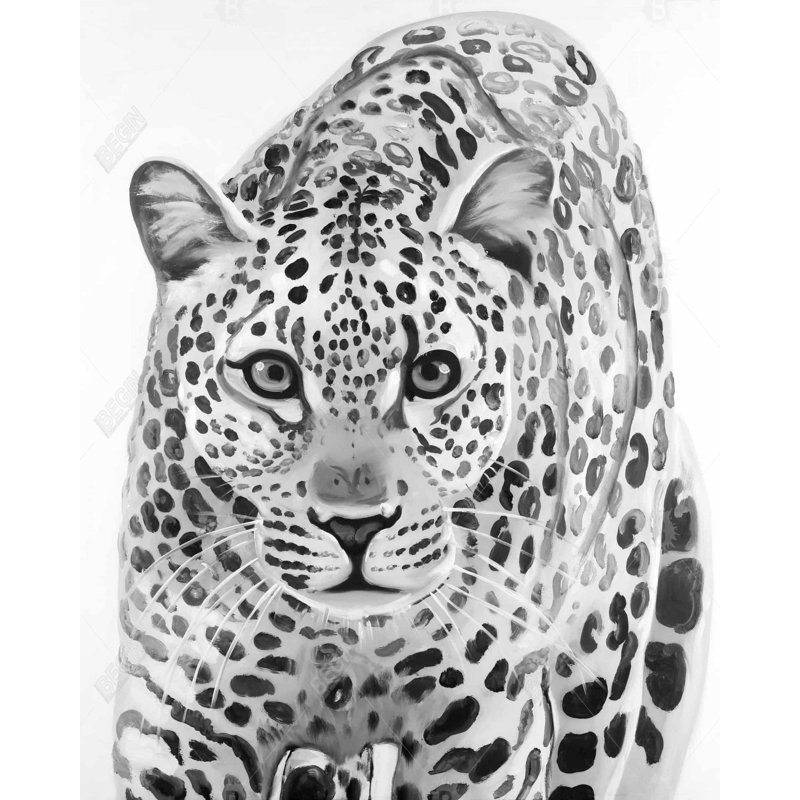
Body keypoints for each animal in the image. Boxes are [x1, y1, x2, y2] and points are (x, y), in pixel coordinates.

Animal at [114, 12, 710, 800]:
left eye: (432, 374)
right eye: (271, 374)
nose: (355, 526)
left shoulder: (487, 728)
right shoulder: (174, 717)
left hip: (606, 649)